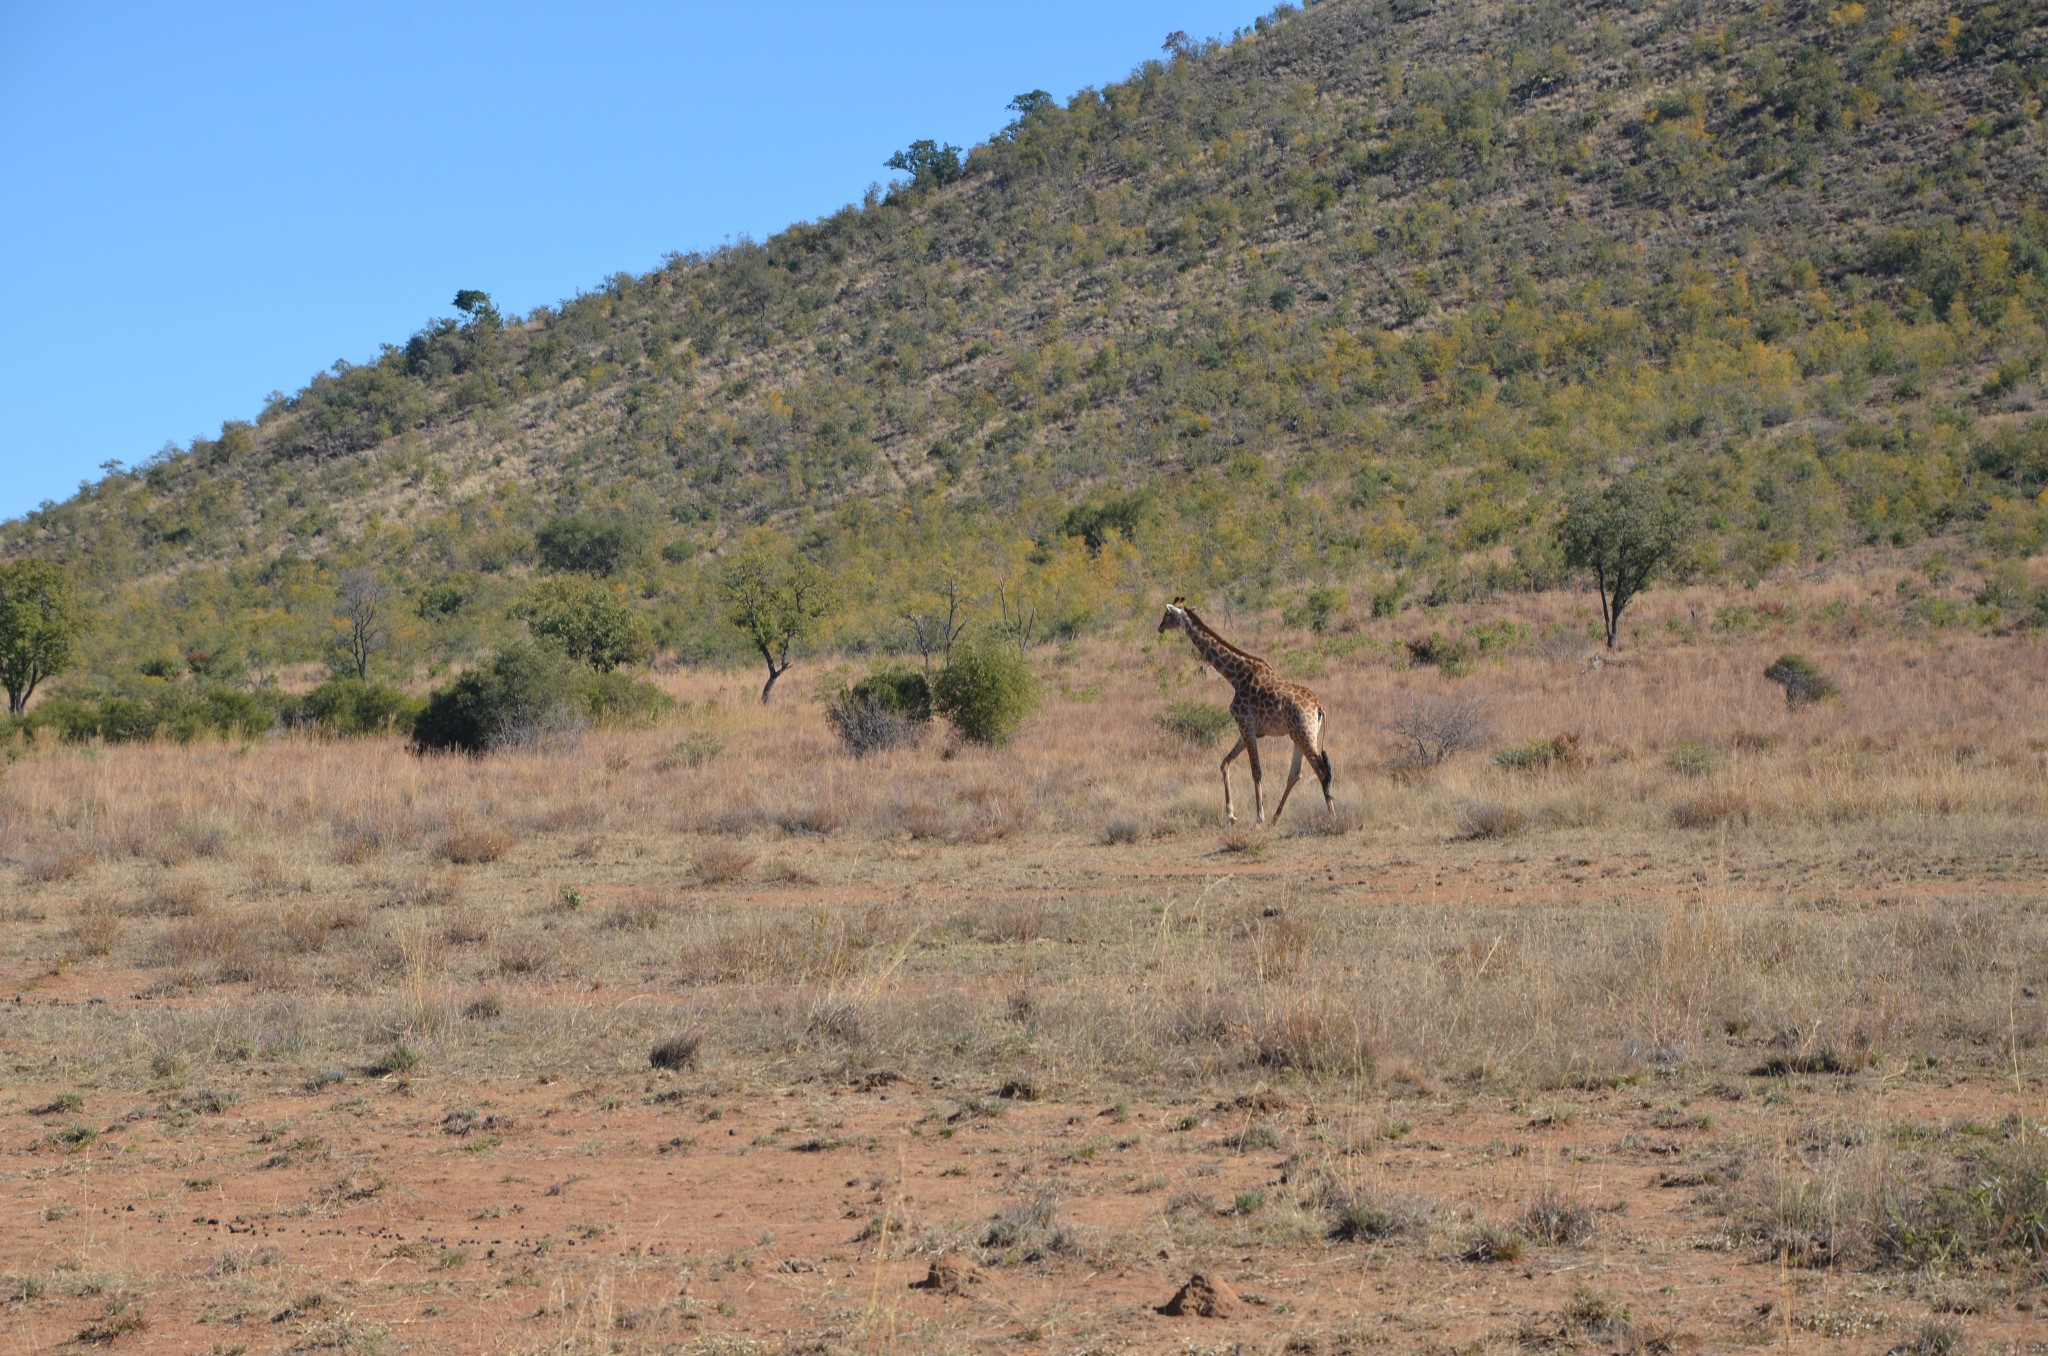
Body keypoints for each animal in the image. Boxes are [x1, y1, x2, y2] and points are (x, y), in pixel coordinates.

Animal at [1163, 598, 1335, 827]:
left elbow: (1256, 771)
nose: (1159, 627)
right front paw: (1231, 814)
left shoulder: (1245, 724)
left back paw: (1332, 815)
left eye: (1167, 615)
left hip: (1303, 733)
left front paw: (1258, 817)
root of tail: (1318, 706)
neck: (1234, 675)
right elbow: (1225, 763)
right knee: (1296, 774)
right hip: (1300, 734)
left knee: (1321, 770)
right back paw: (1276, 817)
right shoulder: (1249, 729)